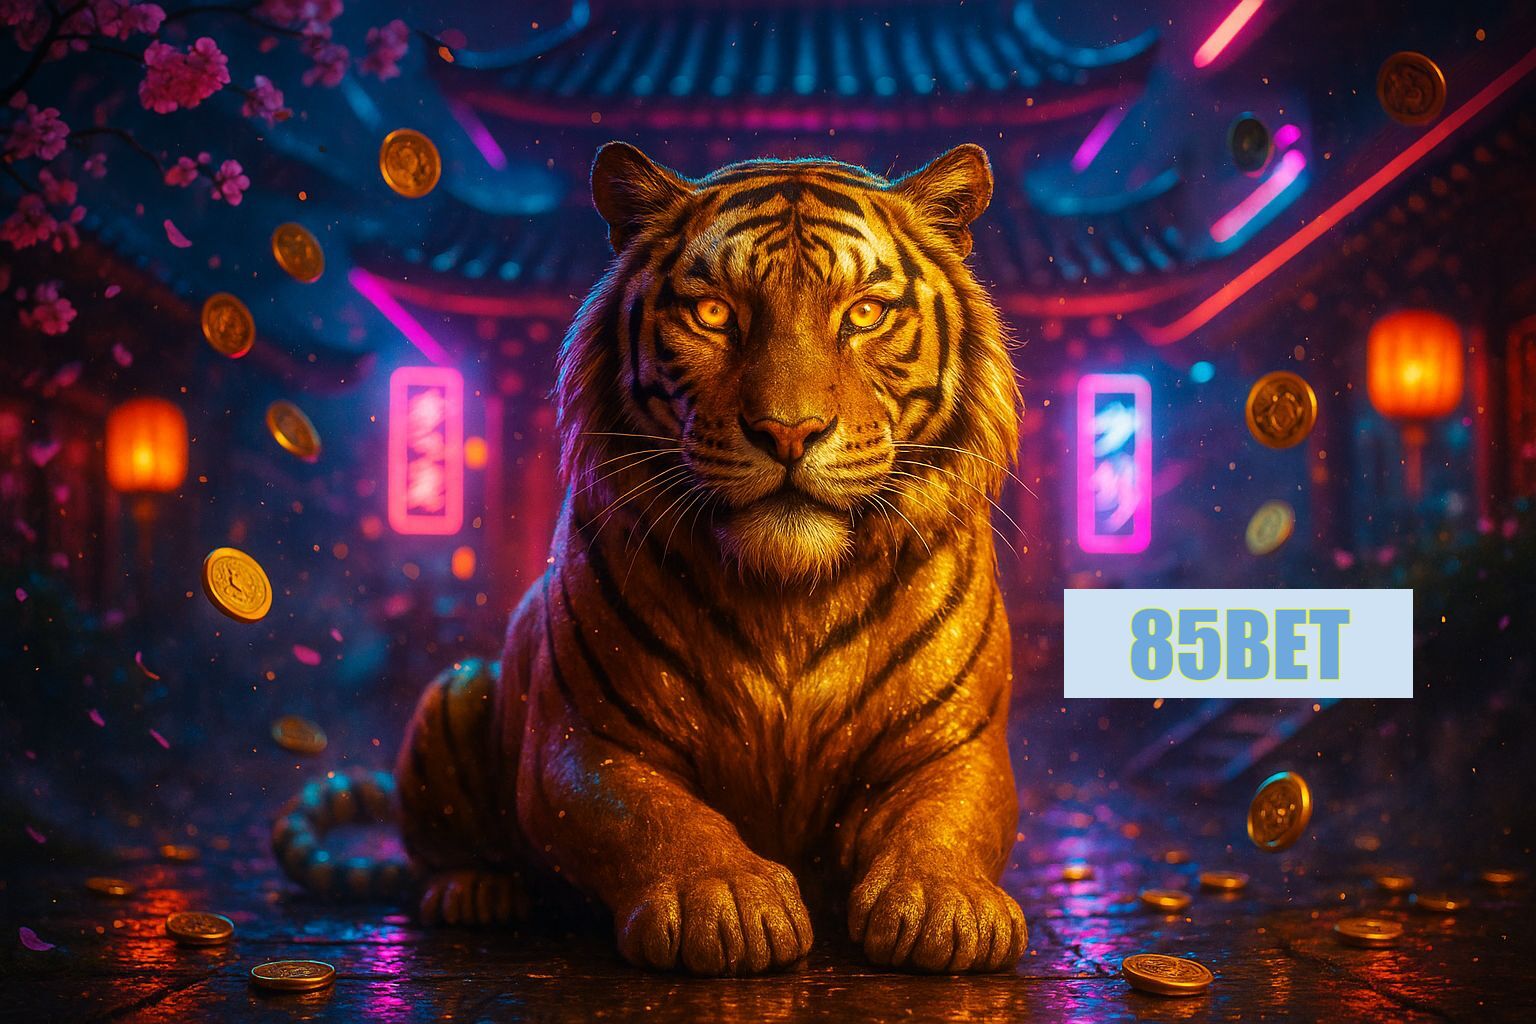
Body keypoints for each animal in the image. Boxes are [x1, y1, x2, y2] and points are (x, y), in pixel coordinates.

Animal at [273, 142, 1027, 976]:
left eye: (864, 312)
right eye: (714, 314)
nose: (789, 432)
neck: (789, 591)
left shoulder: (958, 742)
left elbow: (946, 817)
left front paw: (944, 903)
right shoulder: (585, 743)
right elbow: (655, 819)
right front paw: (726, 901)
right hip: (458, 686)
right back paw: (476, 892)